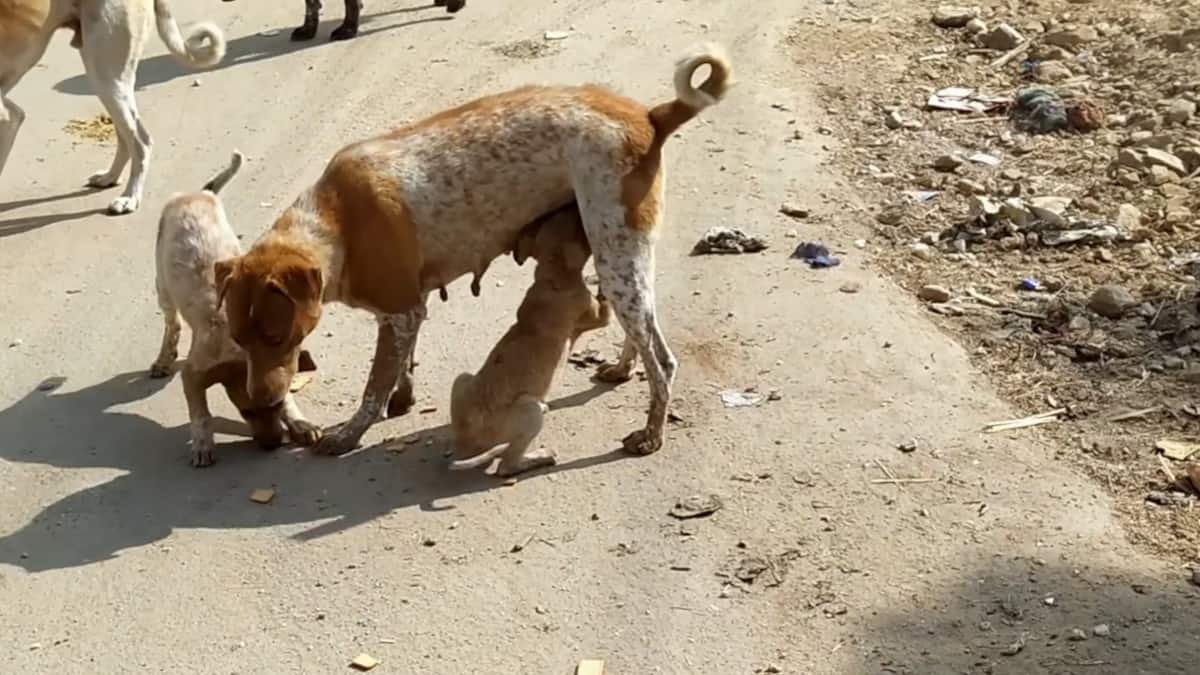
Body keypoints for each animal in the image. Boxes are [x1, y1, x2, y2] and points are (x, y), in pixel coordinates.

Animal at [1, 0, 226, 212]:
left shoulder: (8, 115)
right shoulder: (10, 111)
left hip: (106, 75)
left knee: (141, 142)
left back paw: (130, 197)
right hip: (103, 76)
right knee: (126, 138)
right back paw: (110, 177)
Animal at [152, 151, 321, 468]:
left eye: (276, 406)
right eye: (246, 412)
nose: (273, 445)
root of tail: (196, 193)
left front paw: (300, 423)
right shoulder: (192, 375)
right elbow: (201, 414)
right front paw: (202, 443)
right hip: (162, 285)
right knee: (171, 322)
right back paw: (163, 359)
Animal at [448, 201, 609, 475]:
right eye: (574, 220)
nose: (574, 203)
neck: (552, 274)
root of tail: (467, 442)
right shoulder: (596, 316)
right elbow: (604, 302)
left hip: (462, 380)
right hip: (528, 412)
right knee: (507, 465)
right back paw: (539, 457)